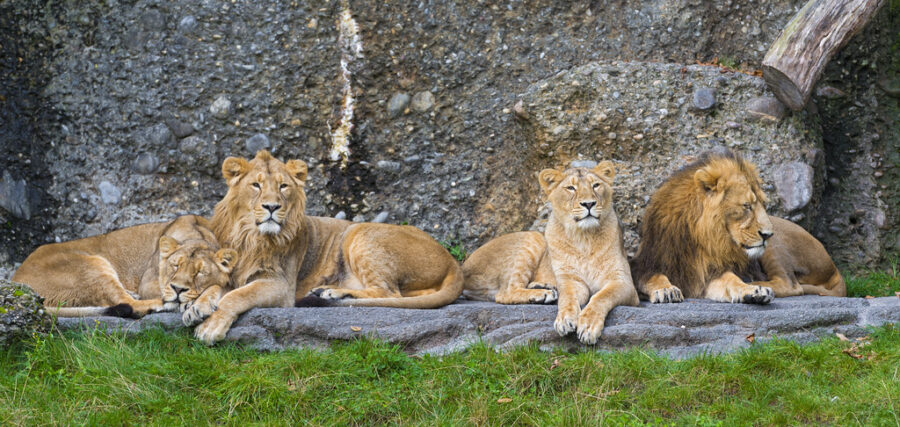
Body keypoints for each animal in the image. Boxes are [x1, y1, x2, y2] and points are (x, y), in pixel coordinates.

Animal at [12, 216, 237, 320]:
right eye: (175, 266)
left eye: (199, 273)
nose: (178, 289)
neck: (199, 235)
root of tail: (15, 281)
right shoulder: (149, 283)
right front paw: (186, 302)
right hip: (92, 265)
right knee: (128, 304)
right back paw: (165, 304)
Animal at [194, 152, 468, 346]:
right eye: (256, 185)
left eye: (283, 186)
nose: (272, 207)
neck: (249, 236)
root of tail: (452, 261)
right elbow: (216, 286)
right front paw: (198, 306)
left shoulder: (281, 286)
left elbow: (237, 296)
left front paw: (210, 327)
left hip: (359, 232)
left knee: (390, 293)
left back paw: (330, 293)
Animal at [464, 162, 640, 346]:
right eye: (571, 188)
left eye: (596, 185)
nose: (589, 204)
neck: (584, 238)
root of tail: (464, 267)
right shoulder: (570, 280)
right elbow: (568, 298)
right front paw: (564, 320)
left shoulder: (623, 282)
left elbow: (601, 297)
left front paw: (588, 326)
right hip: (534, 236)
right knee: (504, 293)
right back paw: (543, 294)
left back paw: (544, 288)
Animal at [628, 150, 848, 304]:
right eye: (747, 206)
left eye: (763, 204)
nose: (768, 234)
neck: (700, 238)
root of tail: (834, 268)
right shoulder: (645, 264)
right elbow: (655, 277)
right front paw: (666, 290)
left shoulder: (711, 271)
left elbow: (730, 279)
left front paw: (751, 290)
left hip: (774, 248)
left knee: (791, 285)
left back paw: (756, 284)